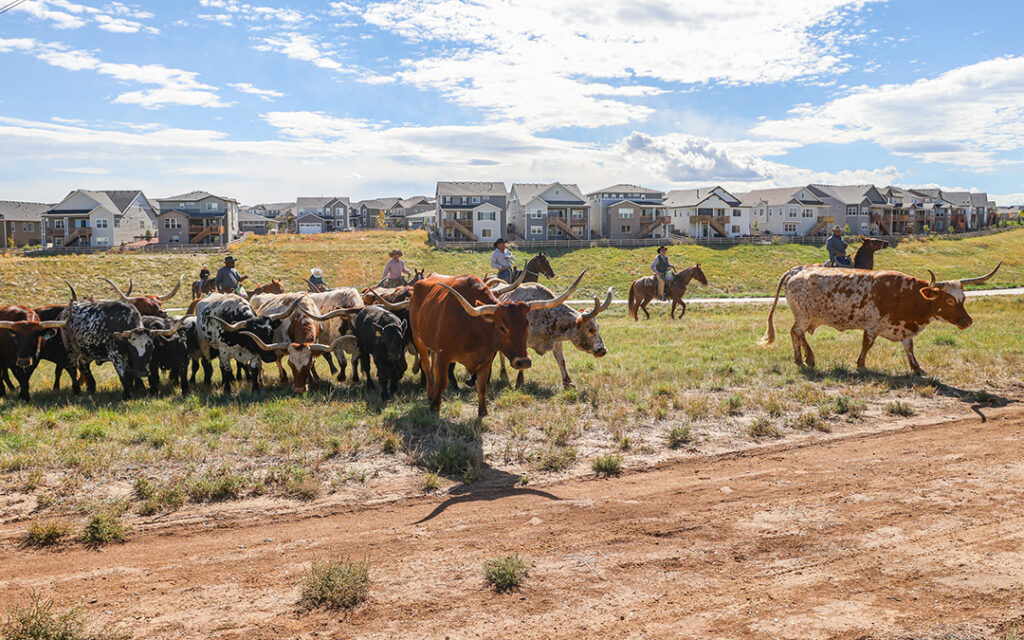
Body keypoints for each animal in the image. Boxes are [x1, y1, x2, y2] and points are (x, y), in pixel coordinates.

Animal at [409, 271, 586, 416]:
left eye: (527, 325)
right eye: (502, 327)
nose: (523, 362)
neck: (473, 325)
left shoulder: (486, 357)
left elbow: (481, 385)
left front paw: (483, 412)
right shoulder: (444, 354)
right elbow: (442, 381)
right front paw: (435, 407)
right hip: (419, 339)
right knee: (426, 365)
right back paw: (430, 394)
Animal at [760, 263, 1001, 375]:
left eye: (963, 298)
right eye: (949, 300)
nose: (967, 321)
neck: (906, 294)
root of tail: (797, 269)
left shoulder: (904, 329)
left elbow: (909, 348)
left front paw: (917, 368)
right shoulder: (872, 325)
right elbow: (867, 345)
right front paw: (861, 365)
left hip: (805, 316)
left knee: (796, 333)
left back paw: (800, 359)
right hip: (803, 314)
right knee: (796, 332)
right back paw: (807, 358)